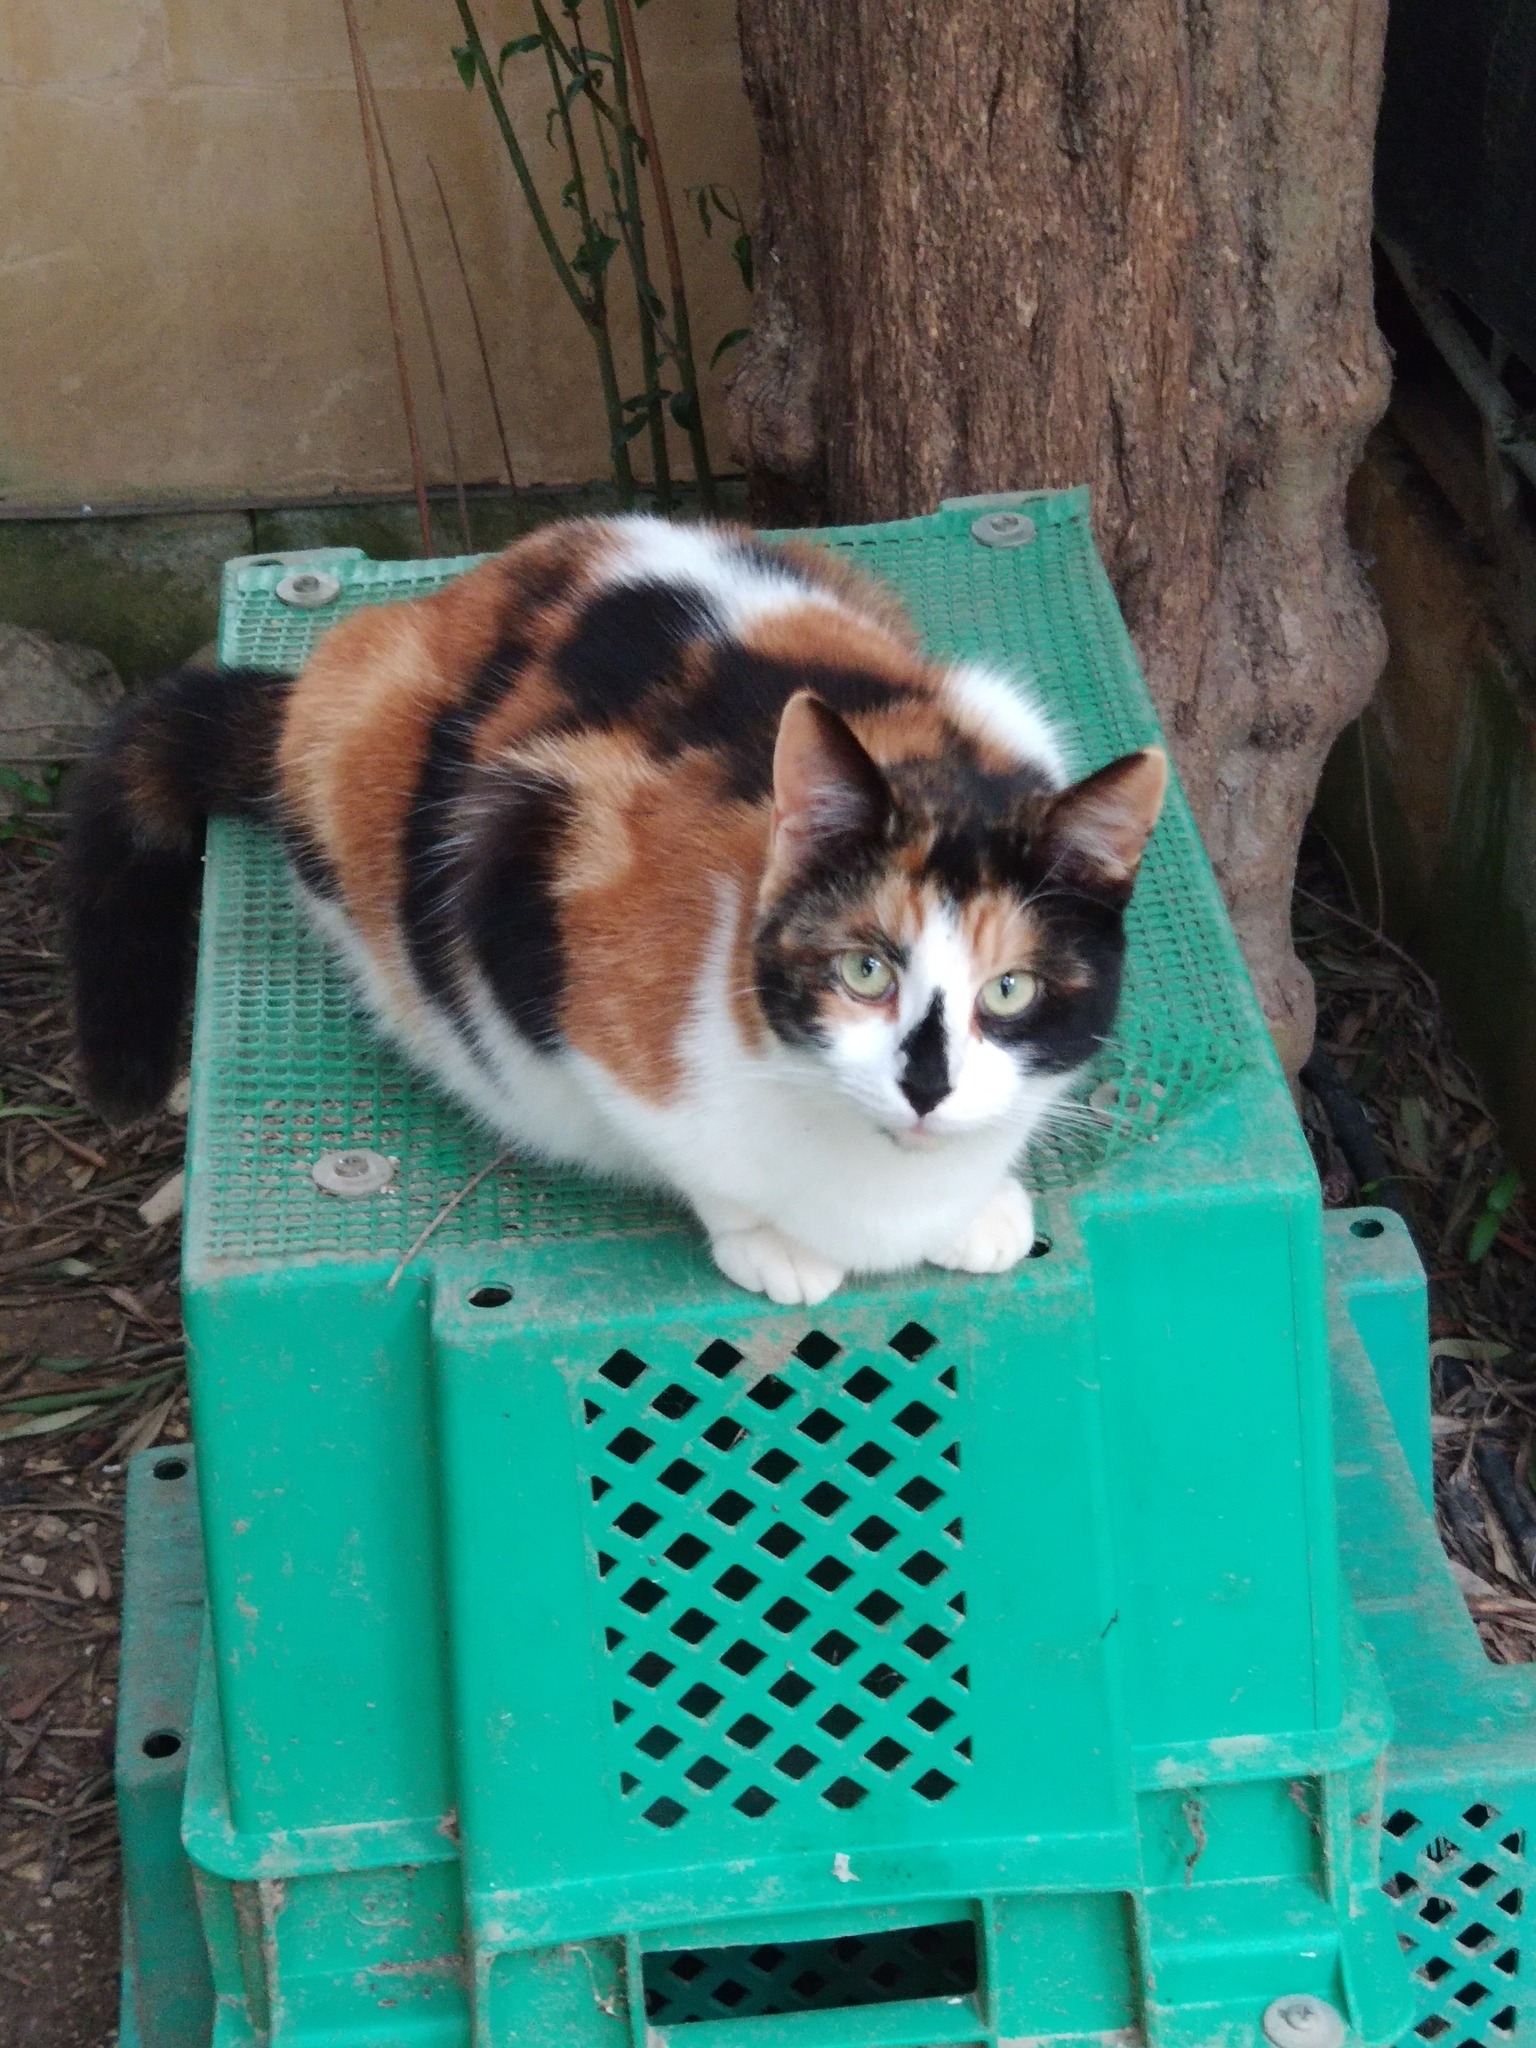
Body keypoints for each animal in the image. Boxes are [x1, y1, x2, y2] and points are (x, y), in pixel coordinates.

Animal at [63, 516, 1166, 1305]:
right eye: (866, 969)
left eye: (1010, 990)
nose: (928, 1088)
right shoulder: (556, 945)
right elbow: (696, 1161)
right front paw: (770, 1242)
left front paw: (983, 1207)